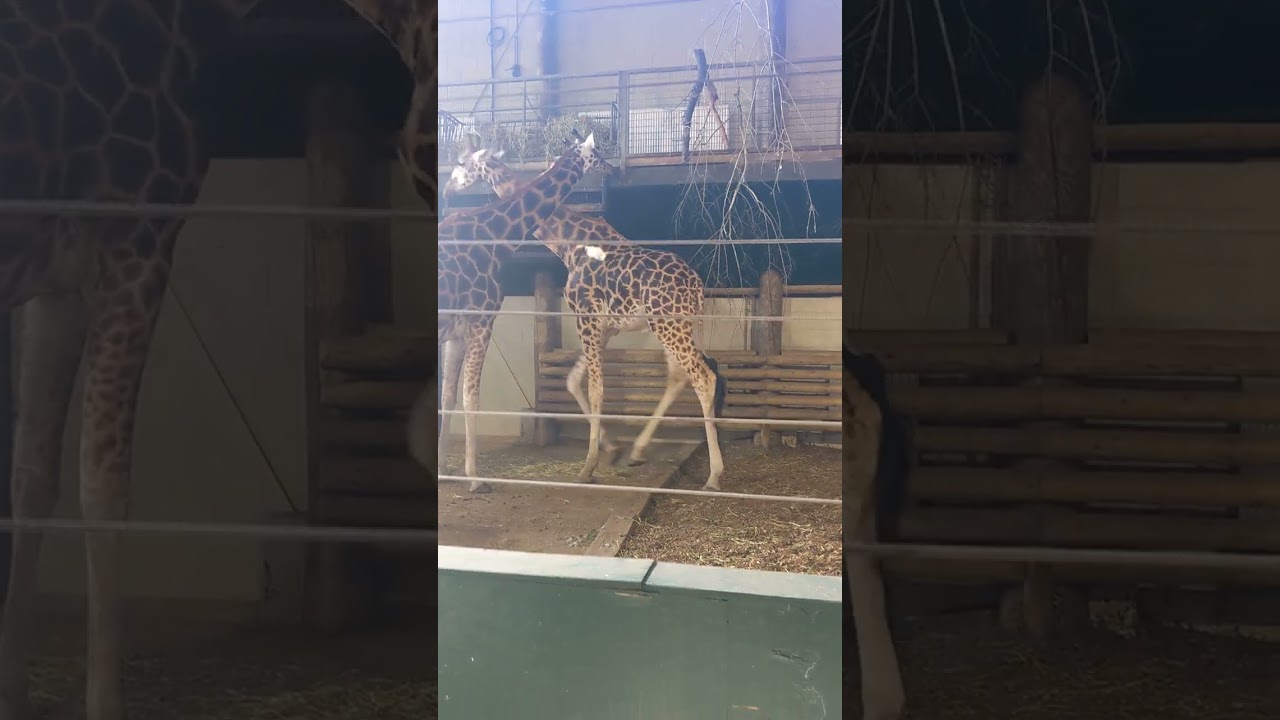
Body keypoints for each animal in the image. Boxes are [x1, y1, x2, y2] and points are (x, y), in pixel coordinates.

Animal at [418, 134, 619, 493]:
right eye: (596, 153)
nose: (613, 169)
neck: (495, 236)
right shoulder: (483, 320)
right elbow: (471, 398)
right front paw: (475, 478)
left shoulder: (457, 333)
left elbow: (450, 397)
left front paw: (445, 469)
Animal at [444, 147, 730, 490]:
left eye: (461, 164)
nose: (448, 191)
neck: (567, 242)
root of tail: (696, 286)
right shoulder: (605, 327)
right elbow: (572, 380)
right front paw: (612, 449)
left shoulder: (586, 316)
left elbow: (596, 389)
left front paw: (588, 466)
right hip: (673, 326)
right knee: (678, 377)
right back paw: (638, 450)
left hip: (669, 325)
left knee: (703, 378)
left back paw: (714, 475)